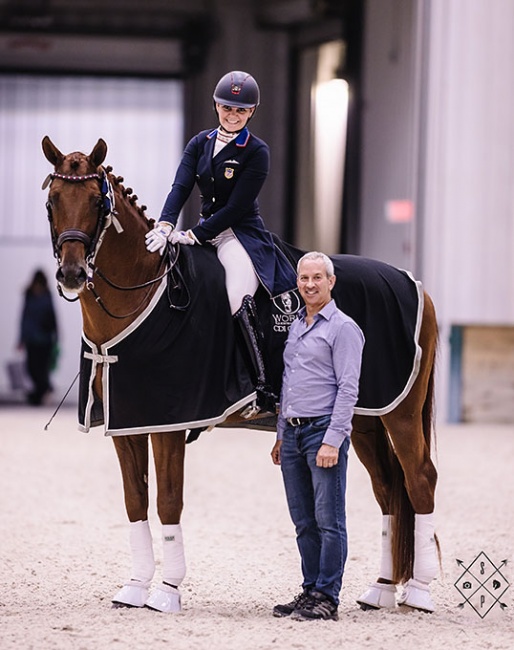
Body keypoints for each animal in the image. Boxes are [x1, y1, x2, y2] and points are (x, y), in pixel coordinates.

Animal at [42, 137, 438, 612]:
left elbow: (168, 501)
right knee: (387, 487)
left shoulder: (169, 423)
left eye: (97, 201)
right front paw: (135, 587)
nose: (71, 274)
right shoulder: (129, 423)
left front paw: (167, 591)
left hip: (400, 414)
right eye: (52, 200)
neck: (146, 295)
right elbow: (134, 501)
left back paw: (420, 591)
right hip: (363, 419)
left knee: (419, 478)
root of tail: (413, 282)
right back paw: (381, 588)